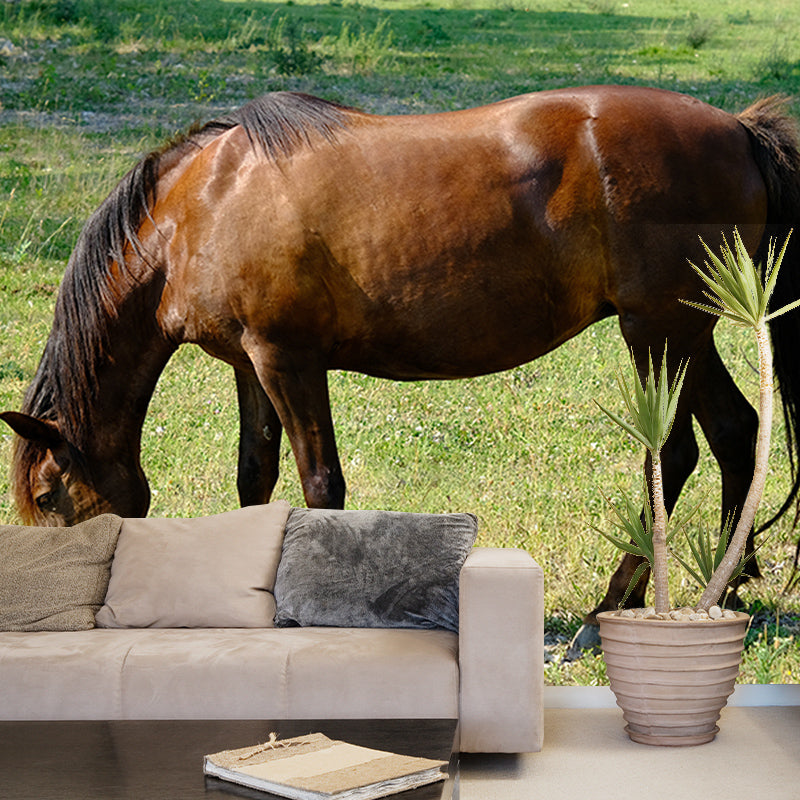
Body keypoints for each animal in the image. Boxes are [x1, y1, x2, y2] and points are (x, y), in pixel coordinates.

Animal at [3, 86, 800, 635]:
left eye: (47, 495)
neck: (201, 205)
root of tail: (738, 129)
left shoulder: (287, 360)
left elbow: (321, 487)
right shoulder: (249, 364)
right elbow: (254, 479)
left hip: (657, 330)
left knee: (674, 452)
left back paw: (616, 603)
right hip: (686, 330)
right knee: (734, 434)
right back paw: (723, 585)